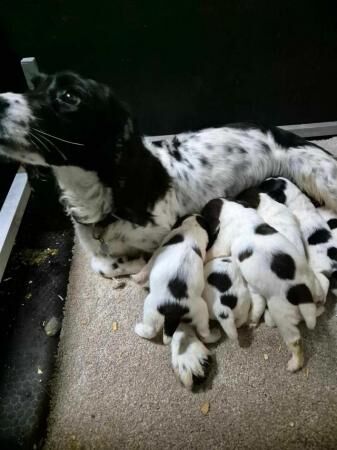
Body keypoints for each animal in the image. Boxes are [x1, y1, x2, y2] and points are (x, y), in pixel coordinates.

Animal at [133, 214, 222, 344]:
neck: (193, 227)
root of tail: (175, 308)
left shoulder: (156, 254)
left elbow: (146, 268)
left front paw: (137, 278)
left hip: (151, 307)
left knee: (150, 330)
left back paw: (138, 329)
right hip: (200, 311)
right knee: (204, 333)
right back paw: (215, 335)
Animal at [201, 199, 324, 370]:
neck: (235, 208)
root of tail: (301, 291)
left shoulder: (221, 242)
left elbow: (212, 252)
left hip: (282, 316)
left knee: (295, 341)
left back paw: (294, 363)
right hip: (314, 285)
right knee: (319, 301)